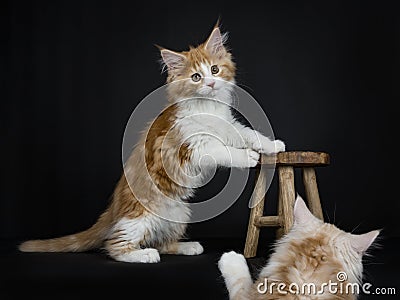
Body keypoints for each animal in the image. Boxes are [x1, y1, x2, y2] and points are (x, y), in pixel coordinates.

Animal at [18, 24, 286, 262]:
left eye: (215, 69)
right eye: (196, 77)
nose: (210, 83)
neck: (208, 106)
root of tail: (113, 210)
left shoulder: (228, 125)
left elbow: (247, 133)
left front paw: (272, 145)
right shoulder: (192, 145)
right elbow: (221, 150)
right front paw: (247, 156)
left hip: (180, 211)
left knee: (161, 242)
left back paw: (187, 247)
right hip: (141, 215)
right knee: (115, 245)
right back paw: (143, 255)